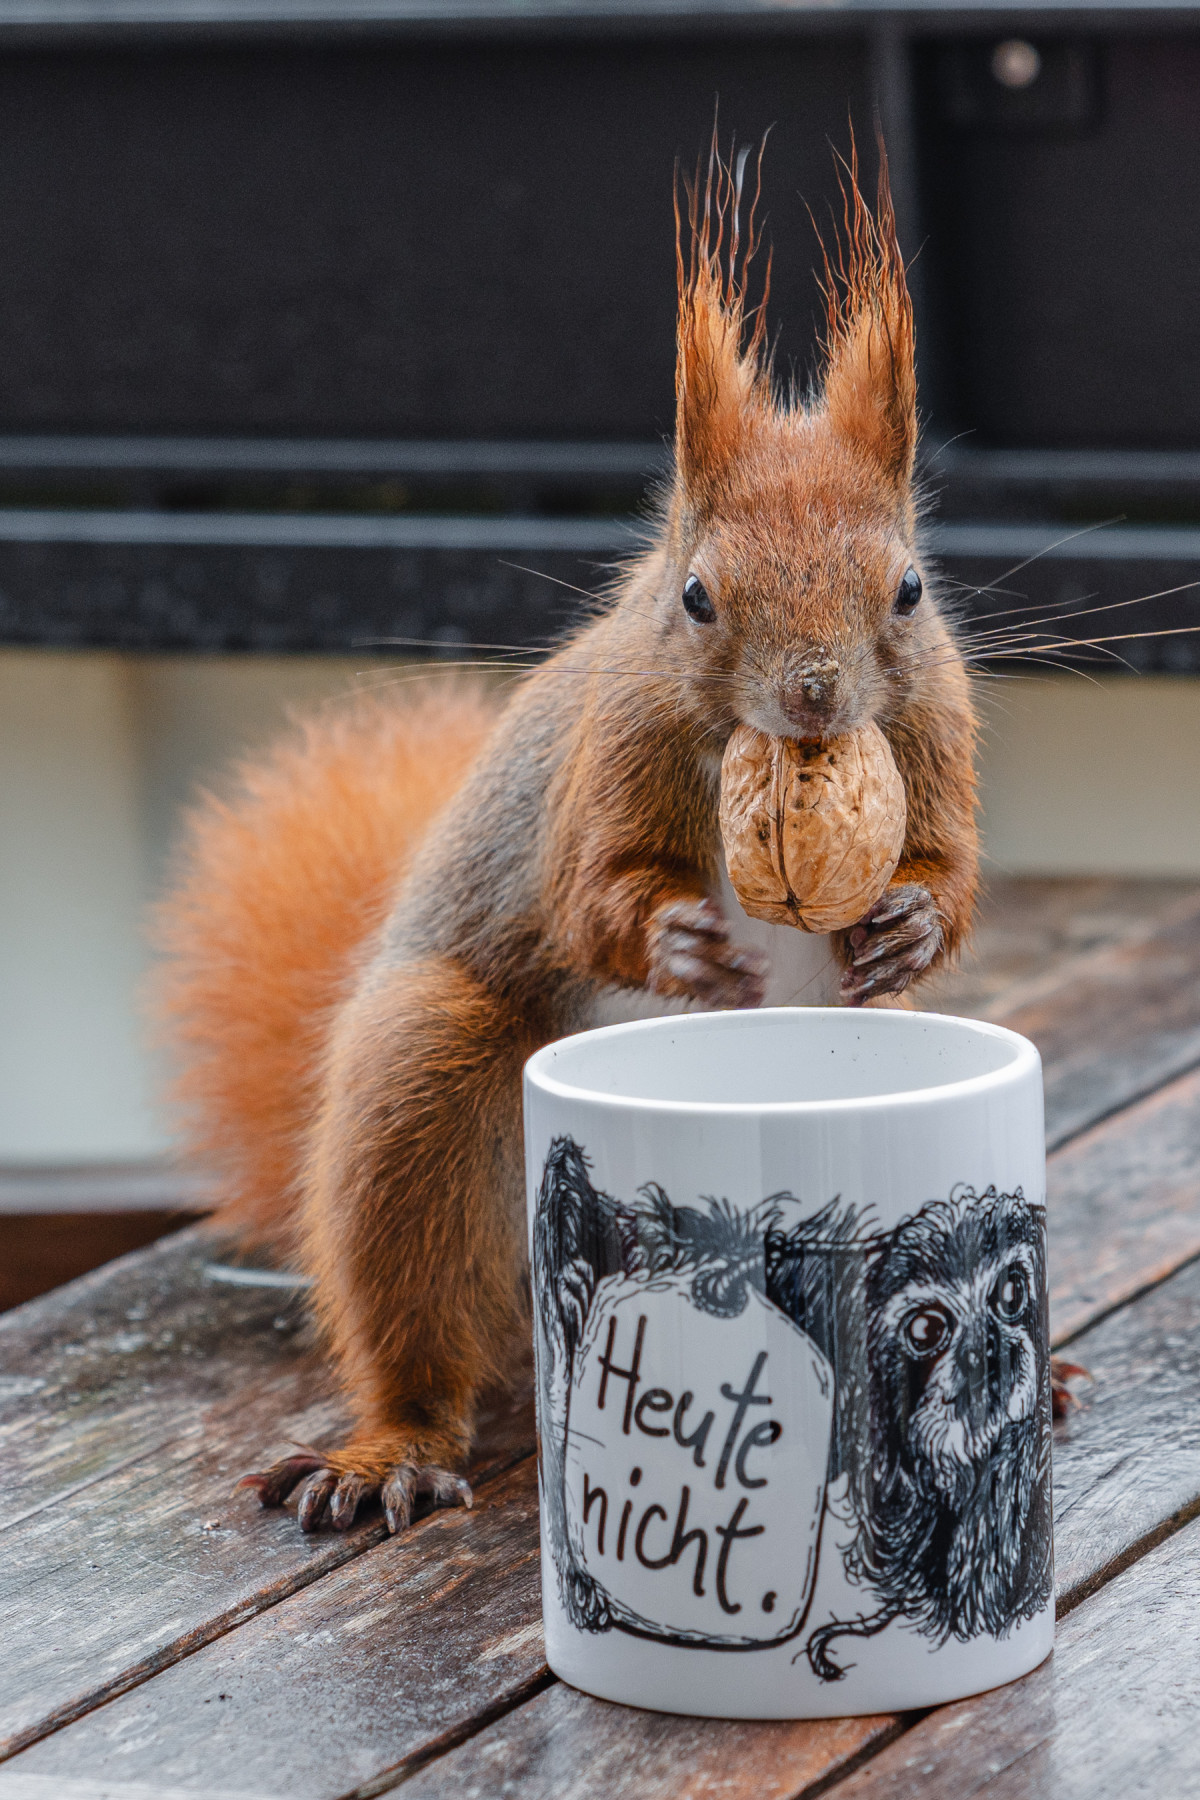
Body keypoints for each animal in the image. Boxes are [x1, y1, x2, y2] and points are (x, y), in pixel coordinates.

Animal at [150, 144, 978, 1533]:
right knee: (420, 1336)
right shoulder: (607, 757)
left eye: (909, 589)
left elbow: (954, 873)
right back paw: (390, 1450)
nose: (814, 696)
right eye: (695, 596)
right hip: (421, 1098)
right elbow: (591, 894)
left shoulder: (937, 735)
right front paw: (685, 948)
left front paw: (908, 920)